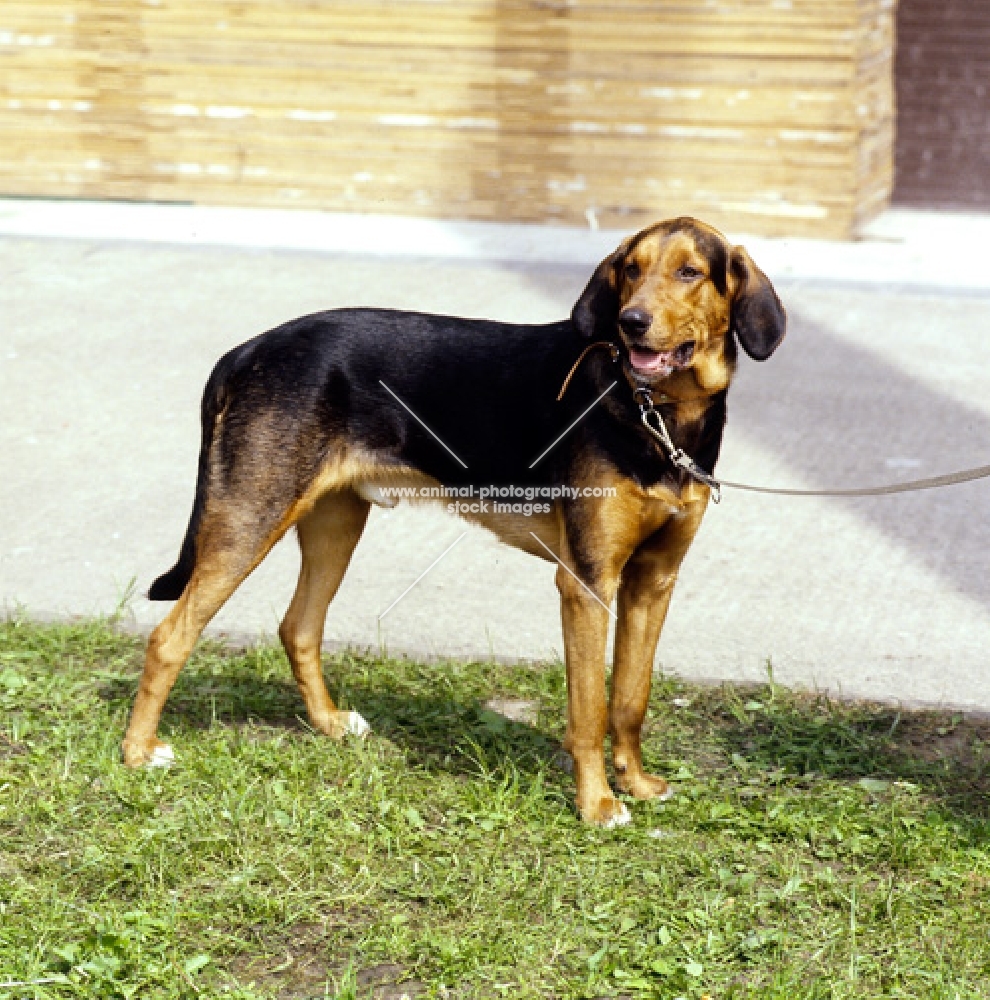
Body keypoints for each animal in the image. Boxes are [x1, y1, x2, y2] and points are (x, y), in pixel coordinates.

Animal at [124, 215, 788, 824]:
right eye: (630, 269)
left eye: (689, 272)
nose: (631, 323)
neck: (656, 414)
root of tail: (247, 351)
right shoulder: (587, 582)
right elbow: (589, 708)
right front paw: (598, 803)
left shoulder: (653, 580)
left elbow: (630, 697)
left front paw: (636, 783)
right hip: (248, 521)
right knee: (169, 638)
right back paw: (138, 753)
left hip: (336, 524)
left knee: (299, 628)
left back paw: (329, 722)